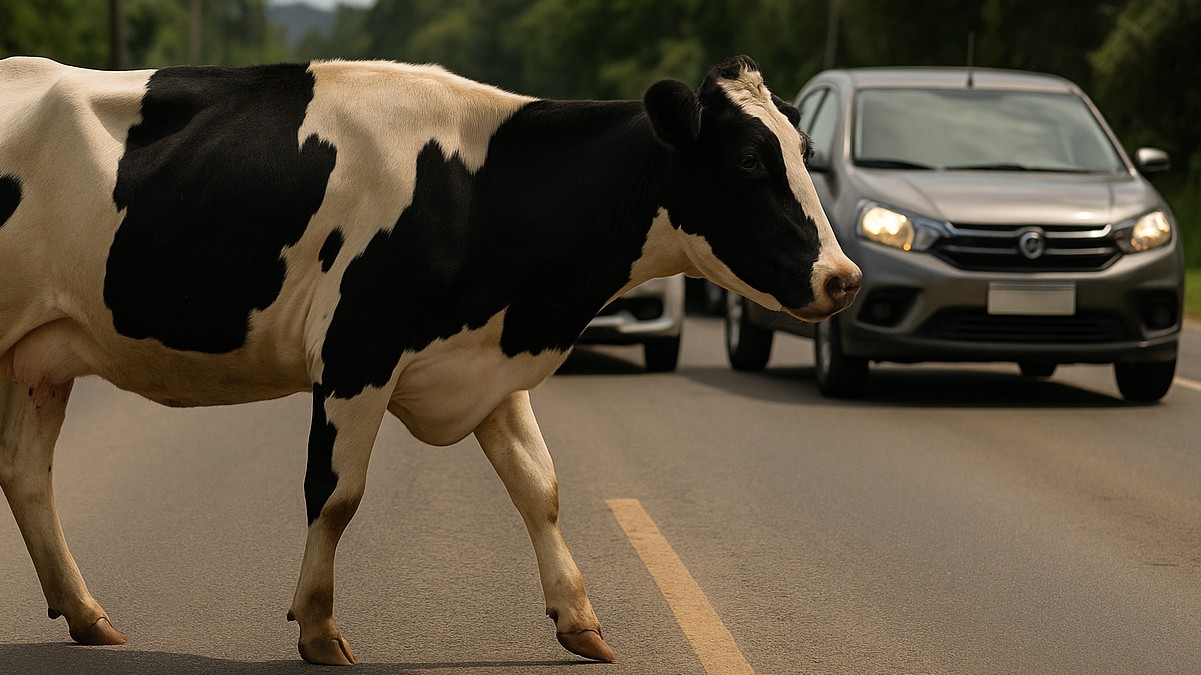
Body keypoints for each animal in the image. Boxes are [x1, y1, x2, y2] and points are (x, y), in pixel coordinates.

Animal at [0, 54, 860, 665]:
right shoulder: (357, 352)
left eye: (803, 150)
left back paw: (87, 613)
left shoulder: (485, 363)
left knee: (27, 473)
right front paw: (317, 628)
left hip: (39, 359)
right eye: (748, 161)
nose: (842, 277)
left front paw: (579, 619)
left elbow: (539, 486)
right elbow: (335, 493)